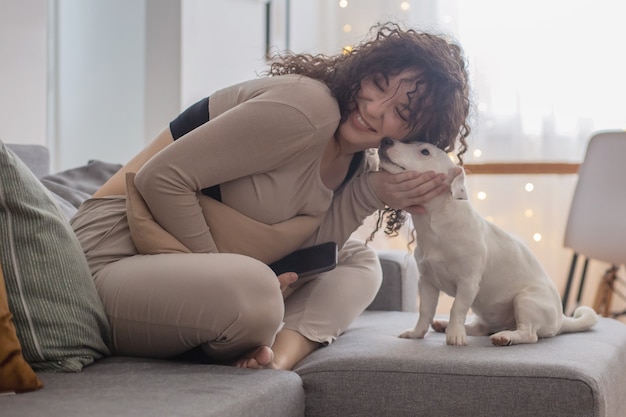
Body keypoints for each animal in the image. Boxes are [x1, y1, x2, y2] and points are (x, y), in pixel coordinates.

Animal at [372, 136, 596, 344]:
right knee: (480, 328)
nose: (386, 140)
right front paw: (417, 333)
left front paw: (455, 336)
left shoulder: (468, 282)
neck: (435, 226)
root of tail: (561, 319)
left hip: (527, 301)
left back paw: (505, 337)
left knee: (529, 334)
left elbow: (457, 309)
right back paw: (445, 325)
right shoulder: (426, 282)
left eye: (425, 151)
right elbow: (425, 312)